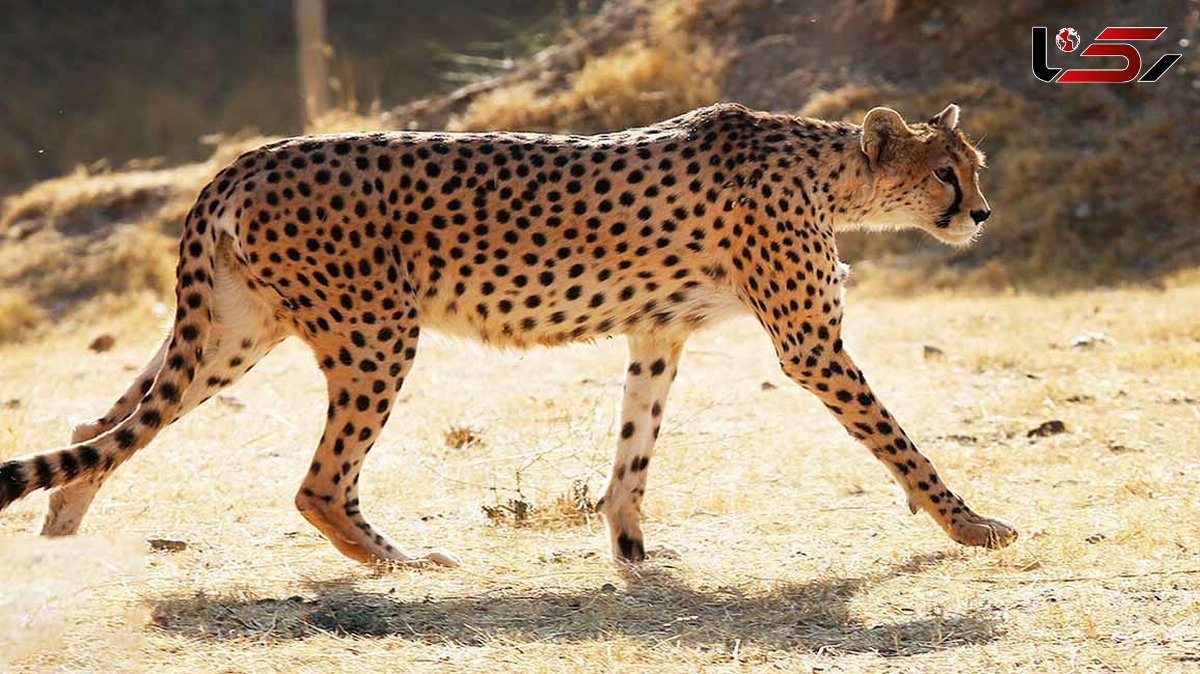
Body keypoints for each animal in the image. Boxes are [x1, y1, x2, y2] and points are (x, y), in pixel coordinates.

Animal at [0, 100, 1012, 561]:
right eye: (944, 172)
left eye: (974, 166)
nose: (981, 214)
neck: (830, 173)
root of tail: (247, 157)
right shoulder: (810, 346)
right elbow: (901, 442)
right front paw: (970, 523)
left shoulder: (658, 334)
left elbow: (635, 445)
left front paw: (629, 548)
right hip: (376, 331)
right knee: (317, 483)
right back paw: (399, 561)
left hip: (233, 333)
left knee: (104, 423)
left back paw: (61, 531)